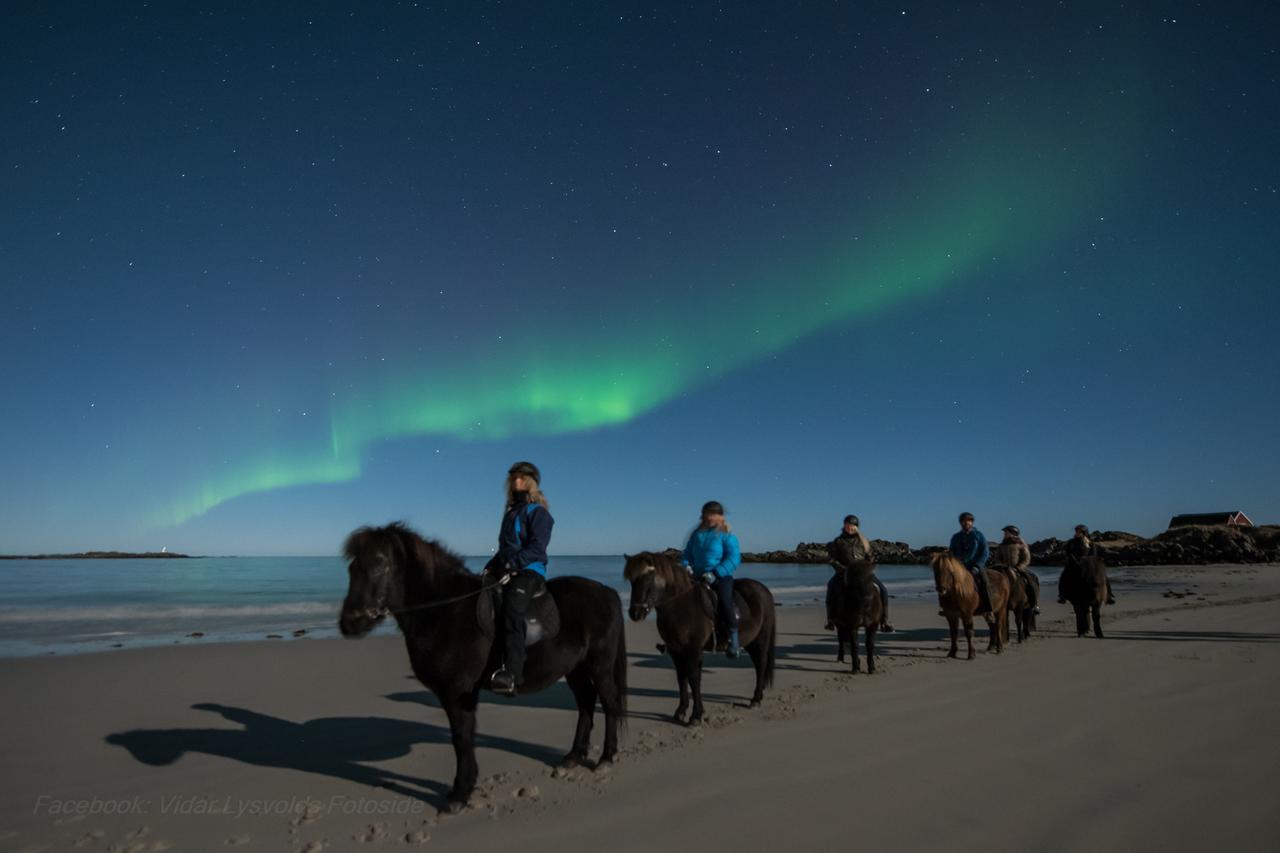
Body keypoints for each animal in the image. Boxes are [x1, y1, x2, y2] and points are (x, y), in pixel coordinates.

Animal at [335, 522, 624, 809]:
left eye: (378, 565)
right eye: (351, 568)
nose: (349, 623)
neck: (445, 612)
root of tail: (606, 591)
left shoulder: (458, 692)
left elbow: (461, 738)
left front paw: (459, 794)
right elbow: (465, 737)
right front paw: (465, 787)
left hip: (599, 667)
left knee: (609, 702)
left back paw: (606, 759)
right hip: (575, 669)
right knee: (586, 704)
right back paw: (572, 758)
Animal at [622, 548, 773, 722]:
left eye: (647, 578)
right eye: (632, 581)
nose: (634, 613)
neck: (680, 606)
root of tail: (763, 589)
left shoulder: (693, 649)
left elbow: (693, 678)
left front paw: (696, 715)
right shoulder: (676, 651)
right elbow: (682, 677)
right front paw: (681, 711)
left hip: (761, 639)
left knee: (761, 664)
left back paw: (756, 699)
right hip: (750, 641)